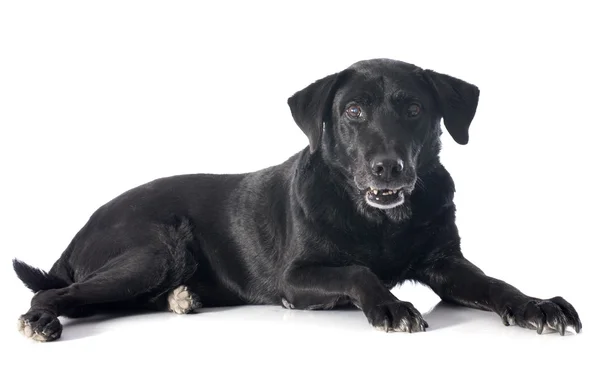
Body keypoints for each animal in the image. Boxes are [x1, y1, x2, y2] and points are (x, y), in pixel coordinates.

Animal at [12, 58, 580, 342]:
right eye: (353, 110)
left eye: (415, 109)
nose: (389, 167)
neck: (381, 222)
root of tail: (77, 232)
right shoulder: (297, 276)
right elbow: (358, 271)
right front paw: (391, 306)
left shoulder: (447, 264)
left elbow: (496, 283)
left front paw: (536, 305)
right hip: (155, 251)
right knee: (57, 295)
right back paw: (41, 320)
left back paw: (180, 299)